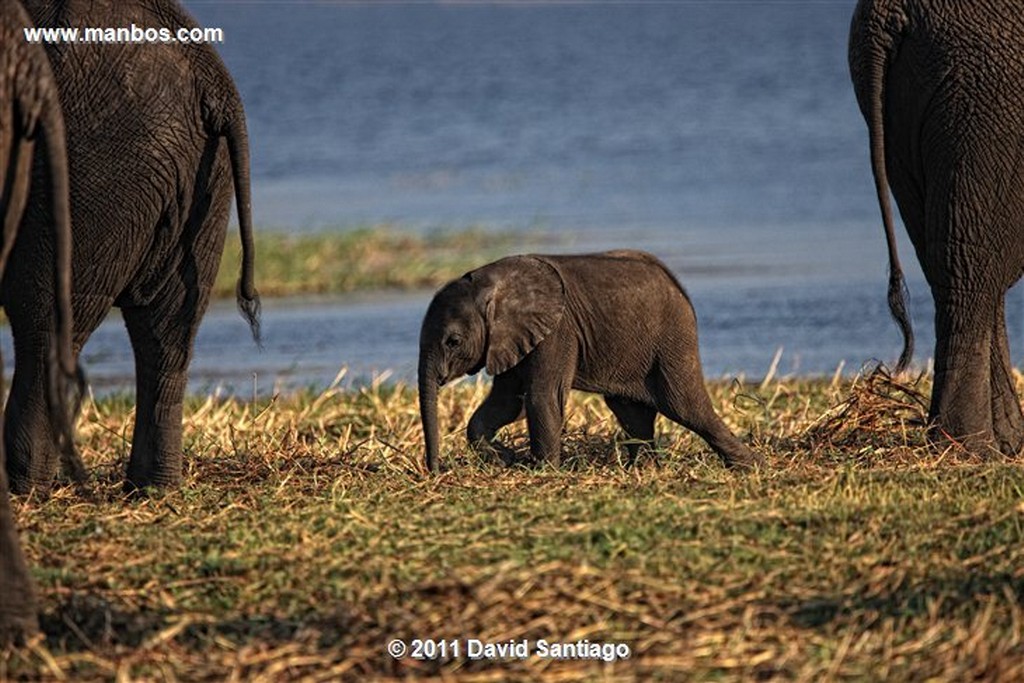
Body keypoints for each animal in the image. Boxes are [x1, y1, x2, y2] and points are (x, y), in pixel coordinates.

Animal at [5, 0, 260, 493]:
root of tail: (212, 79)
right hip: (196, 171)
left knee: (44, 321)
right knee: (168, 329)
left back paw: (22, 487)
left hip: (87, 168)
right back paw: (153, 487)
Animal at [415, 248, 761, 473]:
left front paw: (544, 472)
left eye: (453, 342)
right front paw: (506, 459)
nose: (436, 471)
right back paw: (645, 469)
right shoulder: (513, 338)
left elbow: (542, 397)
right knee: (631, 411)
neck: (491, 280)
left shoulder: (557, 331)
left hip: (673, 339)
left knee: (686, 406)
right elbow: (506, 402)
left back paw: (749, 467)